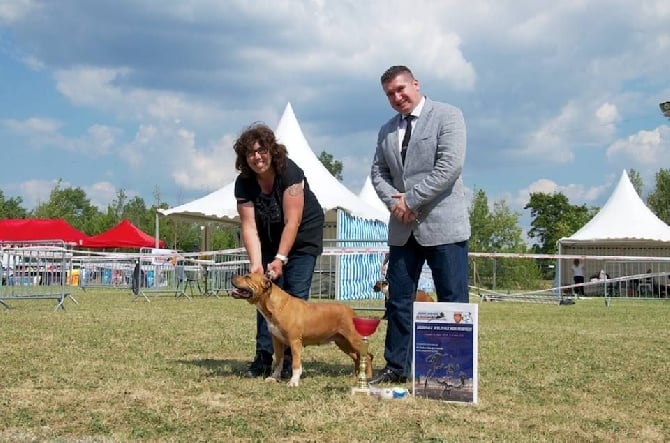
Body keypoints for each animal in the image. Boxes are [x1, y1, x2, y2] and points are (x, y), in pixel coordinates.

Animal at [232, 274, 376, 388]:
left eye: (247, 277)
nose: (232, 276)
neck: (276, 305)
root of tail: (351, 311)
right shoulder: (277, 341)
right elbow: (278, 361)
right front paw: (274, 378)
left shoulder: (295, 341)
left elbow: (296, 364)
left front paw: (293, 382)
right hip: (343, 343)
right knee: (357, 357)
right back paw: (357, 375)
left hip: (353, 339)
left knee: (367, 356)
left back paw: (367, 377)